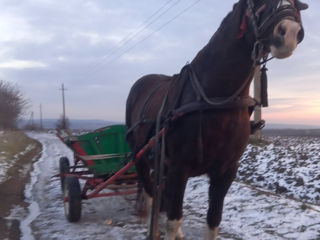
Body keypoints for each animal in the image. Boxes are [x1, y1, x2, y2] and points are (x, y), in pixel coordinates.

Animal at [124, 0, 308, 239]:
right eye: (257, 2)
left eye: (294, 4)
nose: (290, 32)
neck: (217, 100)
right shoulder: (178, 168)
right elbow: (174, 218)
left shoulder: (226, 171)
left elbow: (213, 220)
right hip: (140, 155)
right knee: (150, 193)